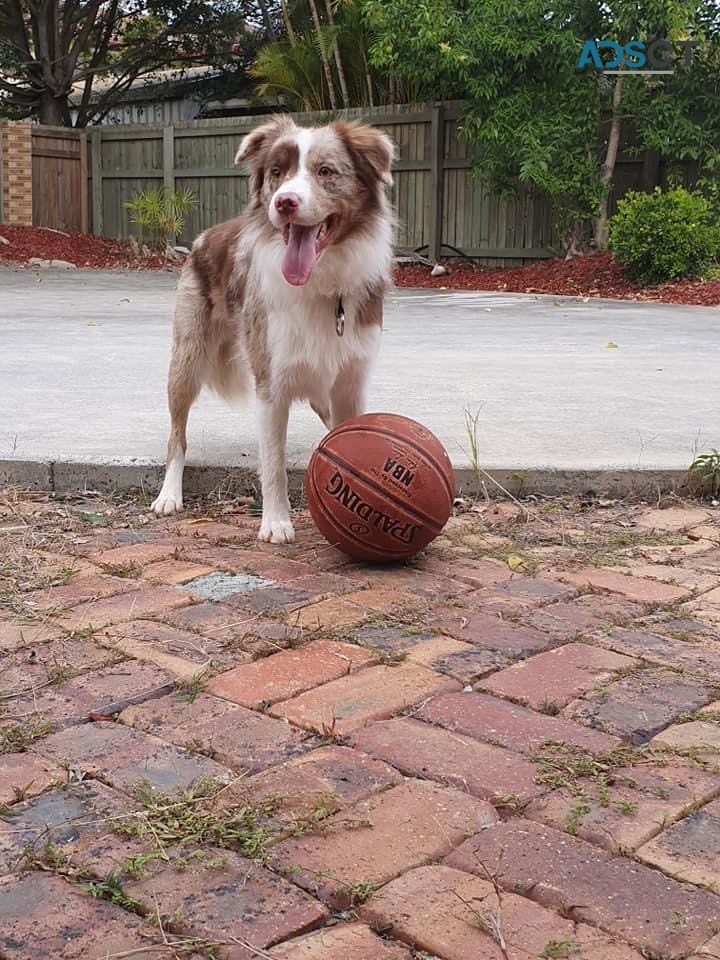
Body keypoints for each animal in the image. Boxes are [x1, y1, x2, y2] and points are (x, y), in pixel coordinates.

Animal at [150, 114, 394, 540]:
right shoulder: (270, 385)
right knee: (176, 436)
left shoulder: (350, 383)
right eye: (277, 173)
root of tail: (204, 237)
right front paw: (276, 523)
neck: (323, 283)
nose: (285, 202)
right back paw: (169, 495)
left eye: (326, 171)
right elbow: (273, 463)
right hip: (187, 360)